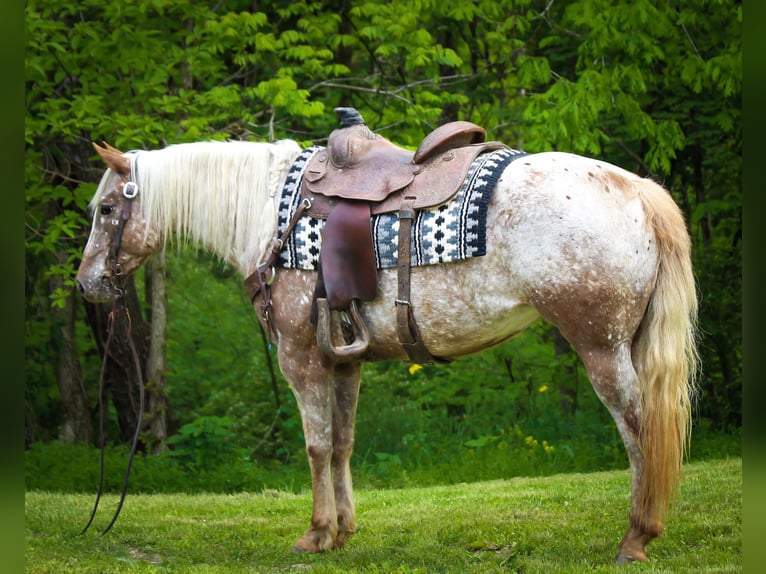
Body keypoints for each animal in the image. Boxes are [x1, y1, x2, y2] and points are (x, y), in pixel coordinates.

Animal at [75, 136, 700, 568]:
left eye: (105, 210)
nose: (87, 284)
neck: (270, 214)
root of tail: (638, 190)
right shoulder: (345, 360)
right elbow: (342, 443)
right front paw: (344, 530)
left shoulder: (300, 358)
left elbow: (315, 445)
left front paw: (316, 533)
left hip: (601, 346)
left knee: (640, 428)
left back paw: (636, 537)